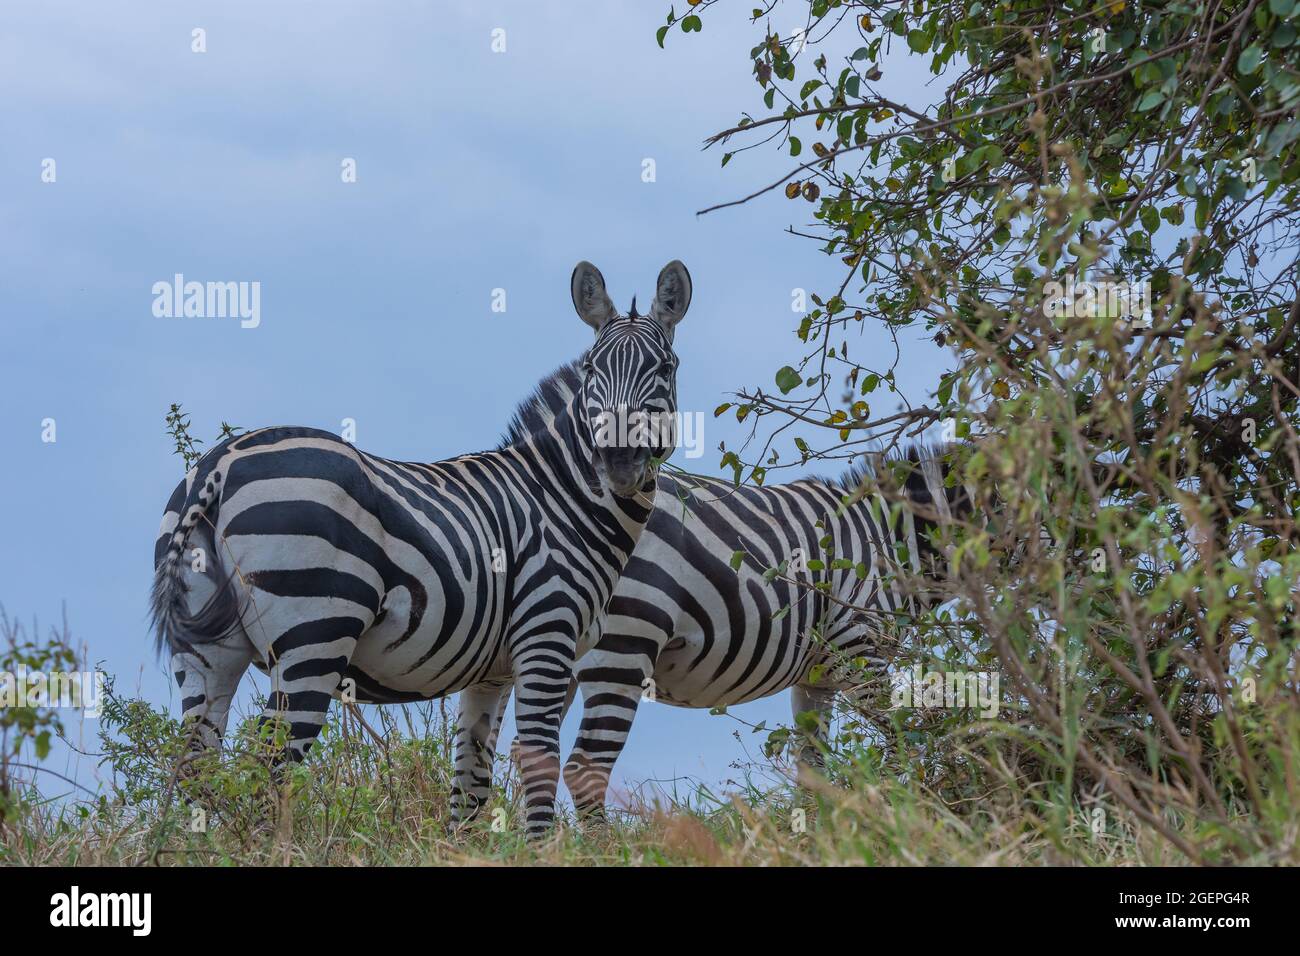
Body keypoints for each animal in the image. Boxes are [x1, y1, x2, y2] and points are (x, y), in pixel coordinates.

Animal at [150, 257, 696, 832]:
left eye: (665, 367)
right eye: (592, 369)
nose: (617, 461)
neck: (561, 496)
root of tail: (221, 462)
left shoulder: (492, 671)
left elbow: (471, 780)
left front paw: (465, 844)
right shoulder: (547, 637)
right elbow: (538, 758)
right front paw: (543, 844)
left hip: (207, 653)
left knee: (198, 762)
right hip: (312, 635)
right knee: (267, 765)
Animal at [561, 447, 977, 816]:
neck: (892, 545)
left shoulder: (817, 678)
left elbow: (812, 766)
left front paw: (819, 830)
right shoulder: (860, 645)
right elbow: (900, 736)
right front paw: (900, 806)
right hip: (625, 640)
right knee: (585, 768)